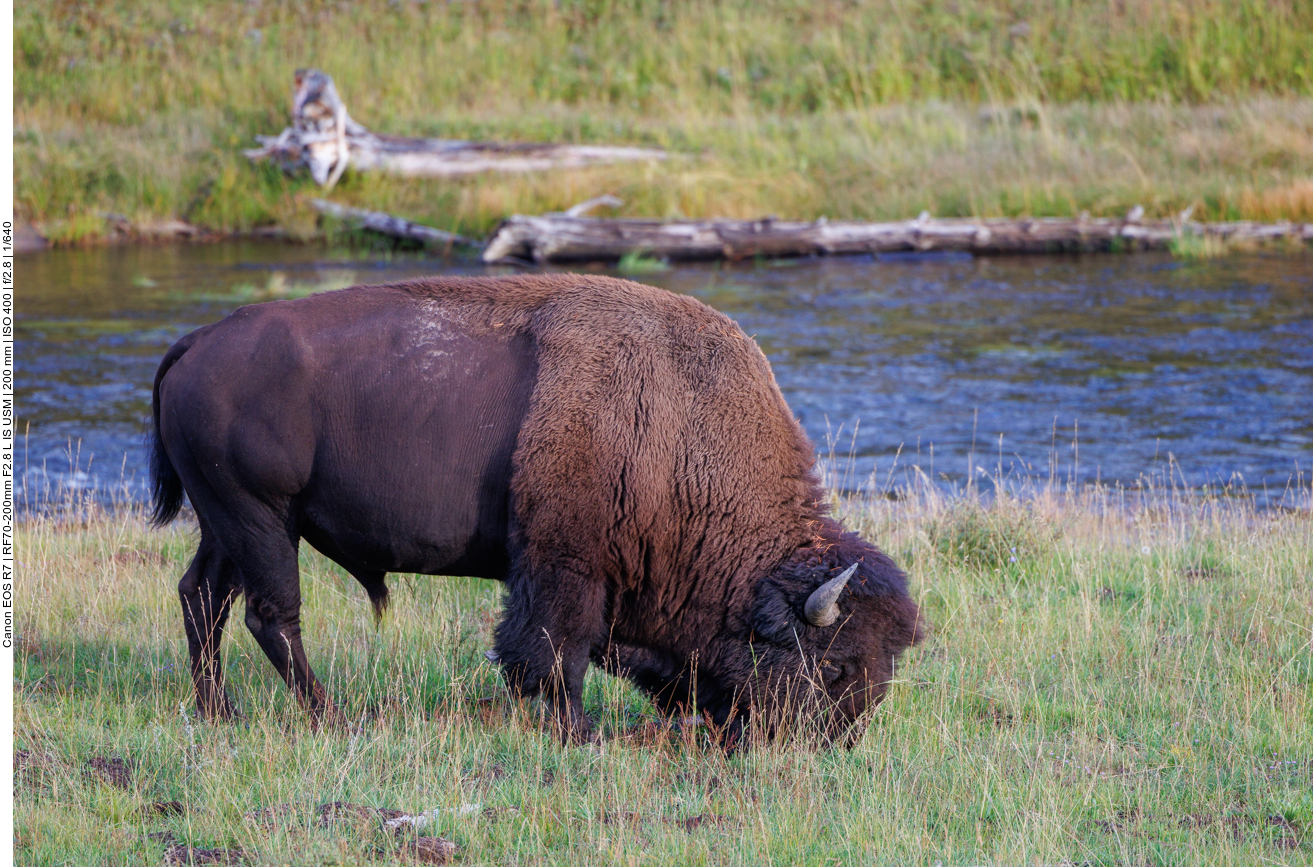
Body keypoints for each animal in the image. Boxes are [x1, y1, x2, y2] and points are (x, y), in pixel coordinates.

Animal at [149, 275, 919, 746]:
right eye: (834, 667)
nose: (832, 742)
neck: (682, 433)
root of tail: (197, 342)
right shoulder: (564, 565)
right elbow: (555, 651)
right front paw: (580, 730)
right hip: (260, 517)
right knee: (270, 613)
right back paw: (332, 716)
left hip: (227, 522)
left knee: (202, 595)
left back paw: (219, 711)